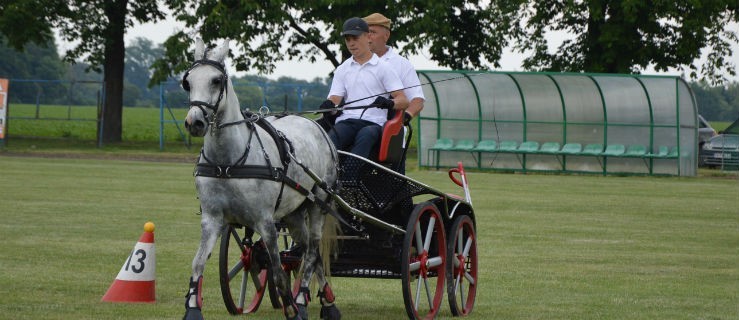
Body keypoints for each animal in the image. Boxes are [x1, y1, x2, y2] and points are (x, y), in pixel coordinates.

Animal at [181, 38, 342, 318]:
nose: (195, 122)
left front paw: (292, 308)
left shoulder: (265, 222)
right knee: (309, 252)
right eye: (188, 81)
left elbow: (277, 273)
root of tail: (317, 127)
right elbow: (197, 264)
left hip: (318, 204)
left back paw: (304, 299)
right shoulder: (212, 219)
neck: (228, 162)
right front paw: (192, 309)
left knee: (312, 252)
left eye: (216, 80)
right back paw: (327, 301)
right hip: (294, 214)